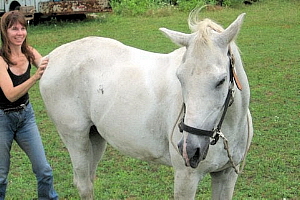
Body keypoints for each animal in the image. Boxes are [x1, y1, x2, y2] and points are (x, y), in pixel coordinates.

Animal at [39, 11, 253, 200]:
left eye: (221, 80)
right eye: (180, 78)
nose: (189, 150)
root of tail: (50, 58)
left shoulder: (226, 176)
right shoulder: (186, 179)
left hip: (95, 138)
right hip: (75, 139)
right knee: (83, 185)